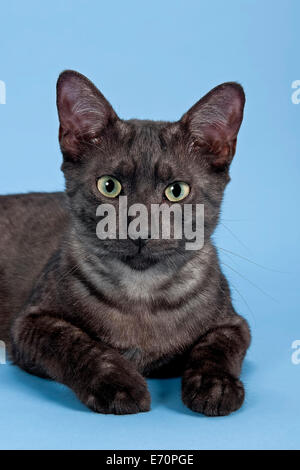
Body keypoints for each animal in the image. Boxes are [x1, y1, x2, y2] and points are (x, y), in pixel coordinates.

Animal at [0, 70, 251, 414]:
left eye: (177, 191)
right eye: (109, 186)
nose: (140, 229)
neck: (142, 294)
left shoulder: (234, 324)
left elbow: (217, 346)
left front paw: (216, 386)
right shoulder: (29, 323)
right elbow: (76, 343)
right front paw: (117, 382)